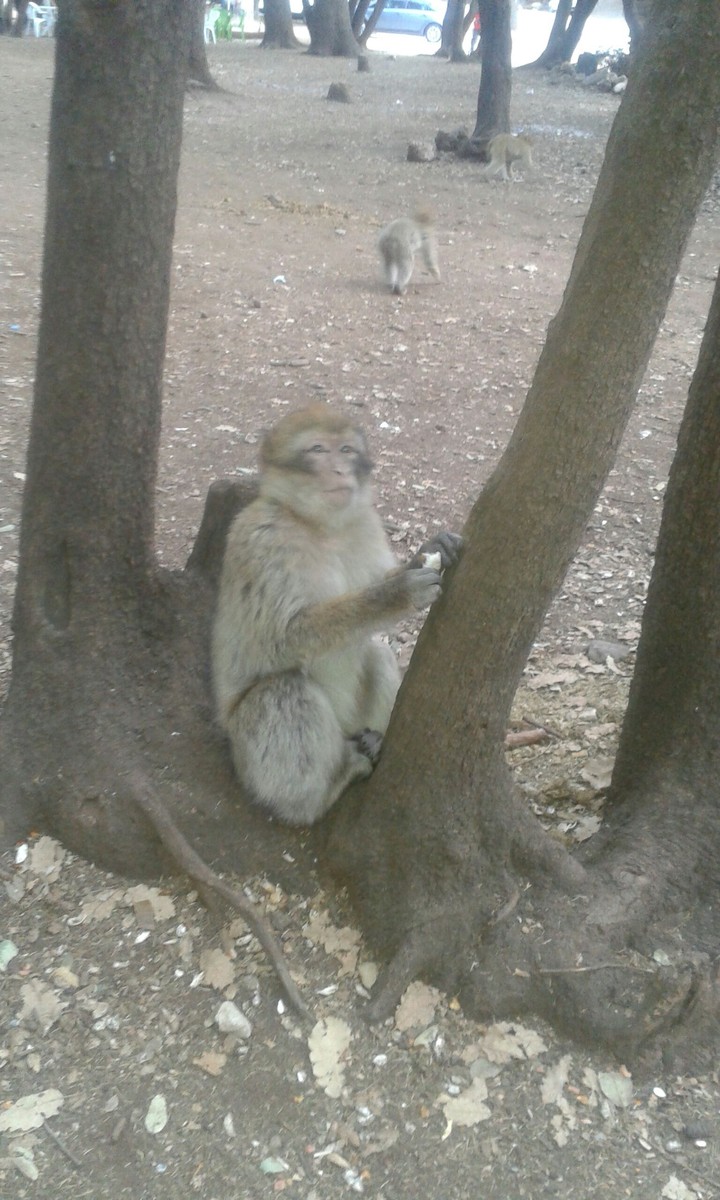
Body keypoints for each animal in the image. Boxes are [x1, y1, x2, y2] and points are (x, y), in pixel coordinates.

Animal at [212, 404, 462, 826]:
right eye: (317, 450)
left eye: (346, 450)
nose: (341, 471)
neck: (320, 527)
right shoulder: (262, 541)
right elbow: (280, 639)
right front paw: (394, 594)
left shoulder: (366, 526)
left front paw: (427, 552)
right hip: (248, 759)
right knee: (281, 693)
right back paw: (324, 790)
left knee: (375, 652)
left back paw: (375, 739)